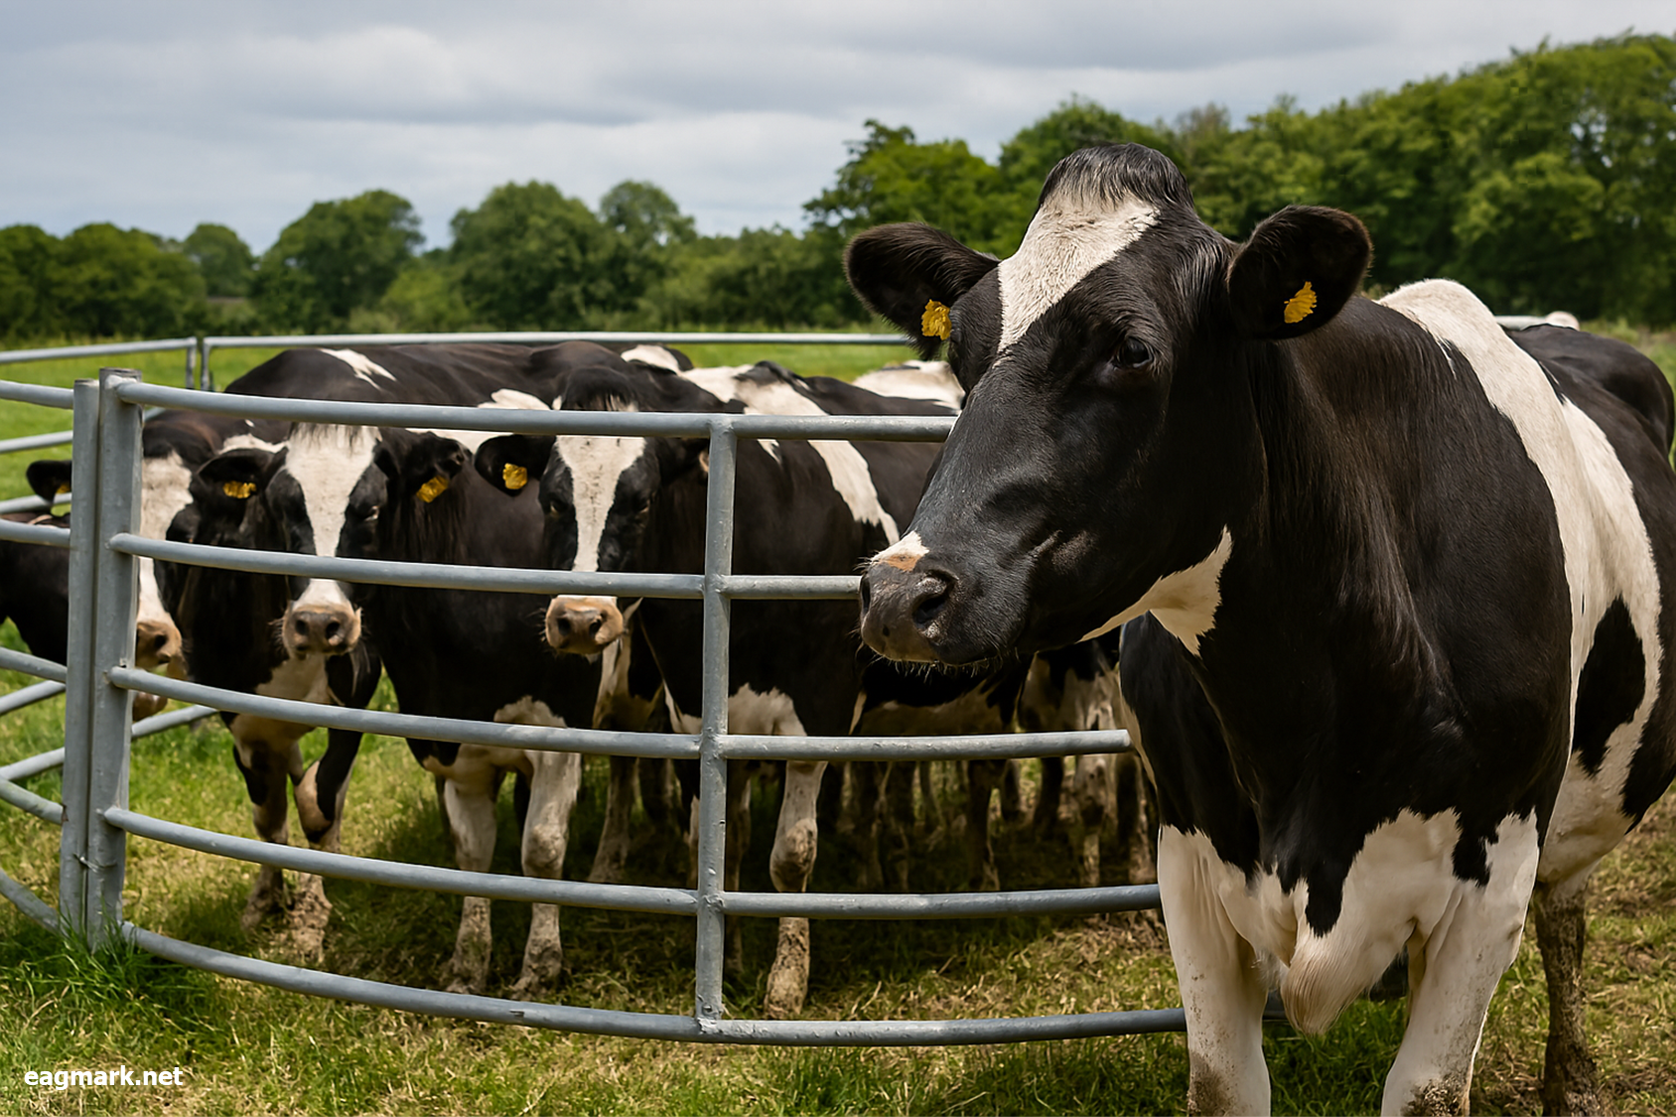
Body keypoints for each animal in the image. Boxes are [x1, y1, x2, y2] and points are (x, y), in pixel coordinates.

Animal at [848, 142, 1676, 1116]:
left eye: (1132, 349)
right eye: (960, 354)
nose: (901, 591)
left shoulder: (1495, 870)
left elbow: (1430, 1087)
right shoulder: (1188, 862)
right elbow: (1221, 1082)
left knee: (1567, 917)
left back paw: (1574, 1080)